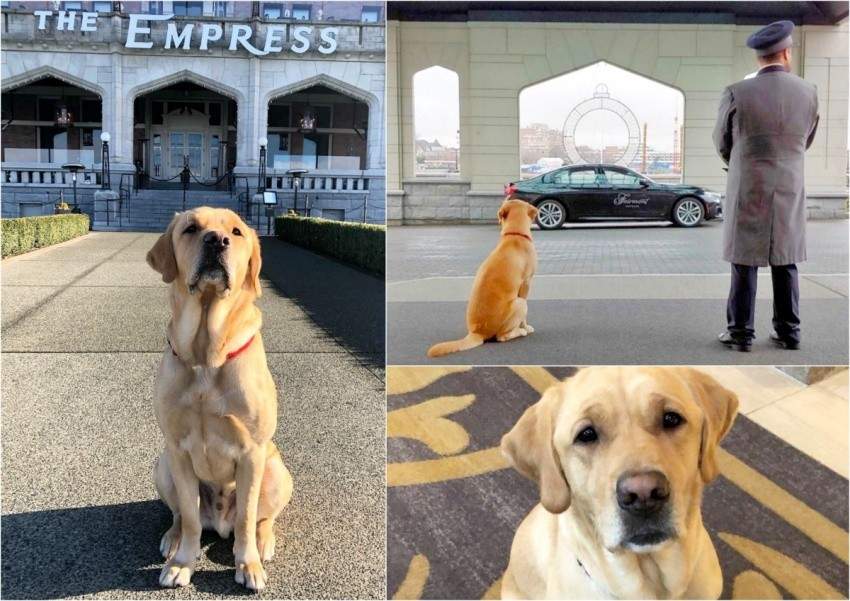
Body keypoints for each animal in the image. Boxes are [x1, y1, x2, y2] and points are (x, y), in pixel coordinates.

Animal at [146, 207, 292, 592]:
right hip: (162, 464)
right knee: (181, 514)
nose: (217, 241)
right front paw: (182, 564)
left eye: (237, 232)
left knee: (259, 518)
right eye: (191, 228)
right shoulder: (178, 450)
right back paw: (173, 539)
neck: (205, 355)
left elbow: (246, 519)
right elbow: (190, 517)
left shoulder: (252, 453)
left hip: (277, 471)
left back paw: (262, 542)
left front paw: (248, 565)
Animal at [424, 197, 536, 356]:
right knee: (502, 336)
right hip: (519, 303)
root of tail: (477, 333)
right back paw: (520, 331)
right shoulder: (526, 283)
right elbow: (524, 318)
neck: (514, 234)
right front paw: (526, 327)